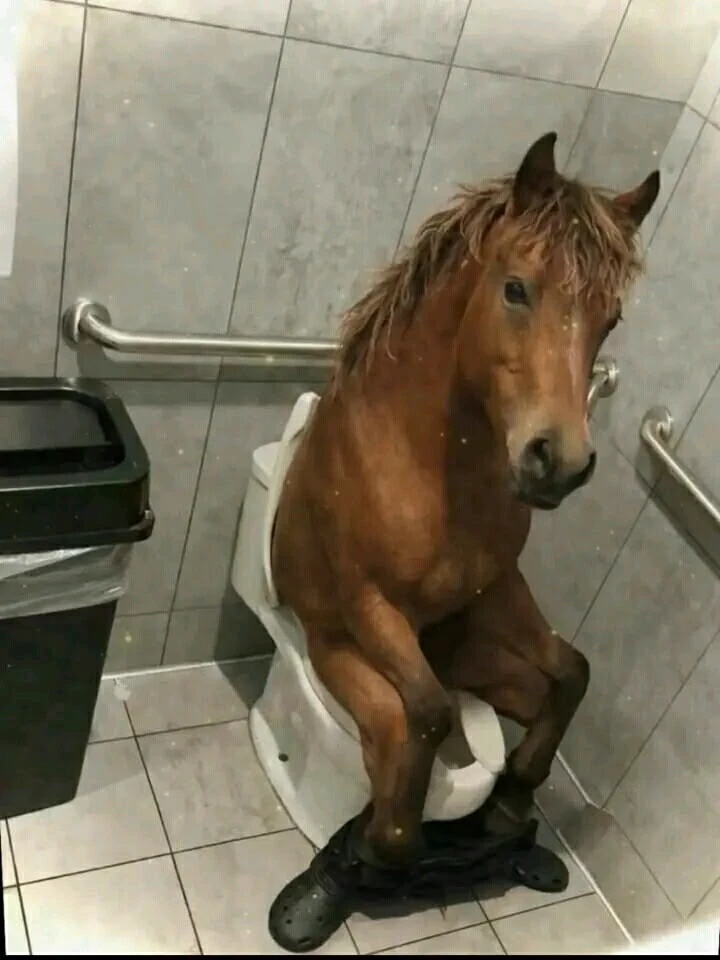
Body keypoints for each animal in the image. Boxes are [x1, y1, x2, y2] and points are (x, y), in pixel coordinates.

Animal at [272, 132, 659, 873]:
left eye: (611, 318)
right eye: (516, 289)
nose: (559, 463)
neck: (432, 469)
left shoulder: (498, 586)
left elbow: (574, 670)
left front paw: (515, 795)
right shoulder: (372, 606)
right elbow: (427, 714)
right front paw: (390, 840)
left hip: (482, 660)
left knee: (530, 694)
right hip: (335, 659)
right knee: (401, 723)